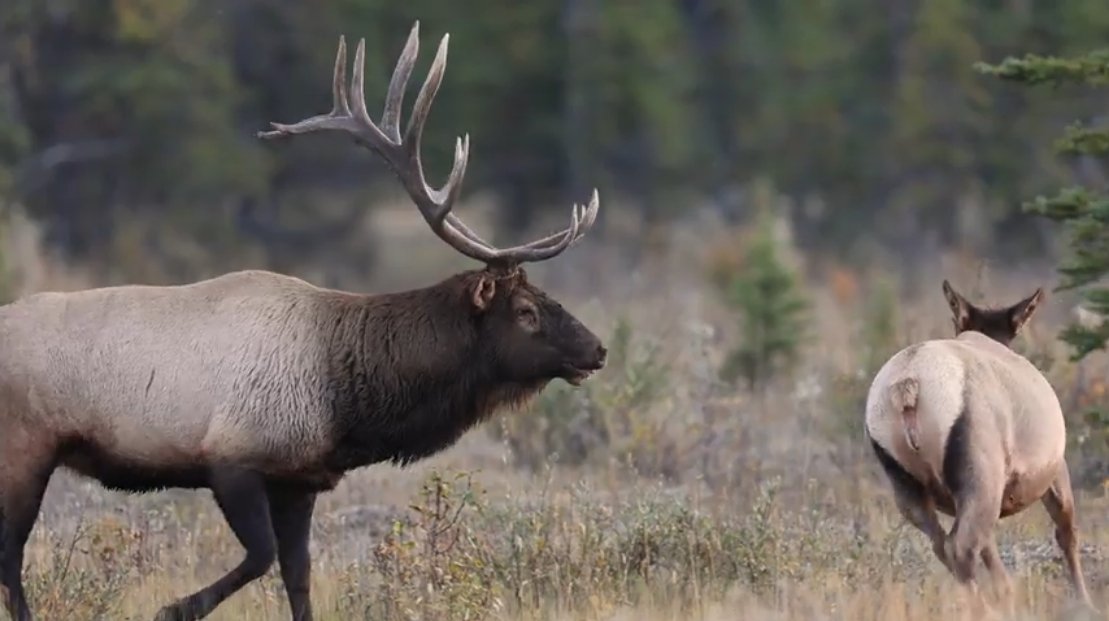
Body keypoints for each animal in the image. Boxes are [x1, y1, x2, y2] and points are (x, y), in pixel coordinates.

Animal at [0, 22, 607, 621]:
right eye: (526, 311)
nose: (598, 349)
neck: (347, 401)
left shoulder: (300, 480)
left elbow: (299, 575)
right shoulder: (233, 458)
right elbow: (261, 557)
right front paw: (173, 609)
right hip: (25, 448)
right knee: (12, 557)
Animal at [864, 280, 1094, 616]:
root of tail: (908, 387)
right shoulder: (1055, 468)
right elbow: (1067, 534)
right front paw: (1085, 603)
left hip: (907, 485)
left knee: (944, 544)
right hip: (981, 473)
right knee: (961, 546)